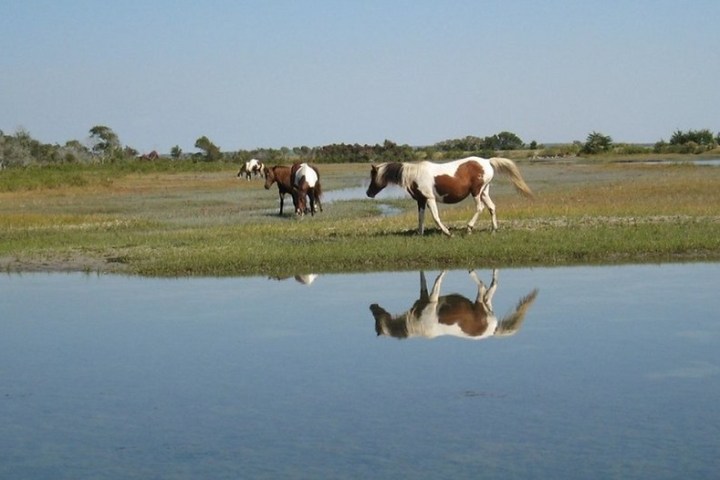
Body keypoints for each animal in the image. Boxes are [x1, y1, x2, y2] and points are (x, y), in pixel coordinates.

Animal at [366, 156, 533, 236]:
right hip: (484, 192)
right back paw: (493, 230)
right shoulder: (421, 200)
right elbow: (421, 217)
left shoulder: (430, 198)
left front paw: (447, 233)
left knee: (479, 208)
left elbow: (435, 217)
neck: (415, 175)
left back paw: (469, 228)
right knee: (492, 207)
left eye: (373, 176)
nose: (368, 193)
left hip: (476, 192)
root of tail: (487, 161)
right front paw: (419, 234)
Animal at [370, 270, 538, 341]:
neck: (415, 323)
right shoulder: (426, 296)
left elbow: (438, 279)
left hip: (480, 303)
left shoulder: (432, 300)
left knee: (484, 286)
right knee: (489, 288)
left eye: (376, 321)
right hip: (484, 304)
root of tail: (493, 329)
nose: (371, 306)